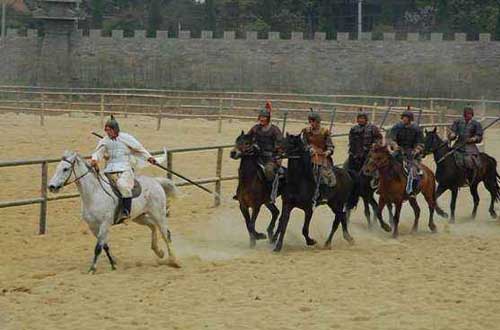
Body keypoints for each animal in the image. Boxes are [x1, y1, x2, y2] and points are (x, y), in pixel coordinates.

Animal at [48, 151, 180, 272]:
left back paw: (174, 261)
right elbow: (104, 246)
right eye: (57, 168)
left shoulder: (104, 224)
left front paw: (92, 268)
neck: (94, 194)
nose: (51, 187)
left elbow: (98, 247)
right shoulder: (93, 226)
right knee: (153, 226)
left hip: (159, 214)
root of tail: (156, 182)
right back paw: (159, 252)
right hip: (139, 217)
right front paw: (113, 264)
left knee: (166, 234)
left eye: (65, 169)